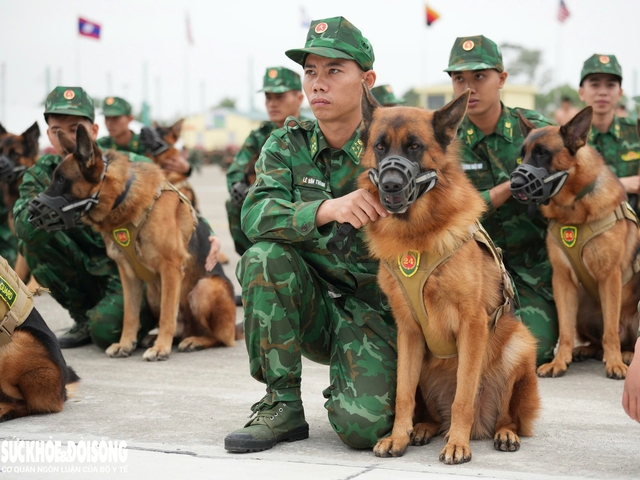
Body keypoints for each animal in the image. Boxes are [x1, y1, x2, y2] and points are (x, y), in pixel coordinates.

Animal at [33, 124, 238, 360]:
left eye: (61, 180)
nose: (30, 208)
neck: (122, 197)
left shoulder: (171, 269)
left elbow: (167, 315)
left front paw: (161, 348)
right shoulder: (127, 274)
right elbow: (130, 315)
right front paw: (125, 344)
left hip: (204, 288)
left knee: (220, 337)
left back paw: (194, 340)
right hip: (153, 293)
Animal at [360, 87, 540, 464]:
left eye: (414, 146)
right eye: (380, 146)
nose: (391, 185)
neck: (417, 234)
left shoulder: (473, 326)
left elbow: (463, 396)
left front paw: (458, 443)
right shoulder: (408, 332)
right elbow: (403, 393)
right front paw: (398, 437)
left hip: (520, 346)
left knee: (506, 414)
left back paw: (502, 433)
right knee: (429, 409)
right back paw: (424, 428)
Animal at [510, 107, 640, 380]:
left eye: (542, 153)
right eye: (522, 155)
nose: (514, 184)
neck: (574, 208)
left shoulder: (609, 278)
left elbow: (610, 330)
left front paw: (614, 363)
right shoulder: (562, 280)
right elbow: (565, 330)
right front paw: (560, 361)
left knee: (623, 339)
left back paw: (624, 355)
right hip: (583, 308)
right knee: (596, 340)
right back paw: (586, 350)